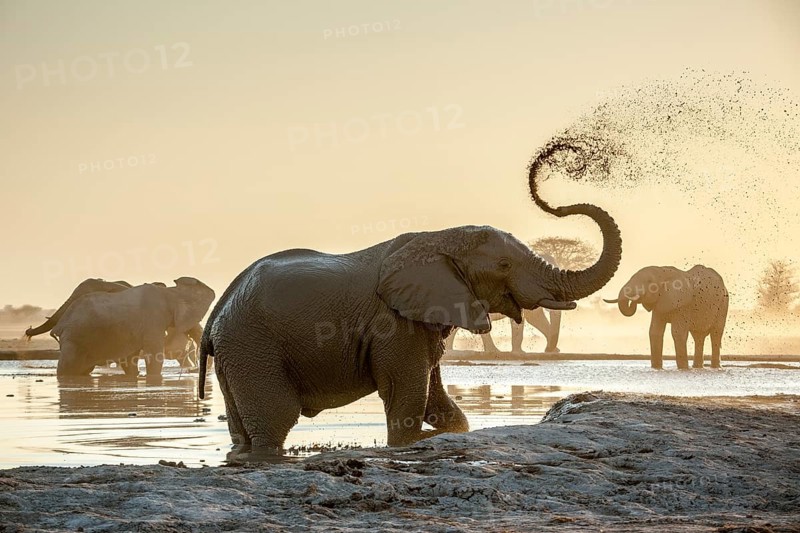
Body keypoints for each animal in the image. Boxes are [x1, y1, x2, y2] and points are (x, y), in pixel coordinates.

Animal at [53, 277, 215, 378]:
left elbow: (131, 358)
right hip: (72, 339)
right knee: (66, 367)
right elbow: (153, 355)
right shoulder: (152, 320)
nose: (193, 369)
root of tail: (59, 325)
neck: (168, 292)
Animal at [199, 174, 622, 457]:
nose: (553, 201)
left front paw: (448, 433)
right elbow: (408, 394)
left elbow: (437, 399)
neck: (440, 236)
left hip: (236, 351)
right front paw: (414, 442)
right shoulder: (394, 324)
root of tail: (218, 313)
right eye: (504, 264)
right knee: (275, 419)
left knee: (242, 428)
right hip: (253, 346)